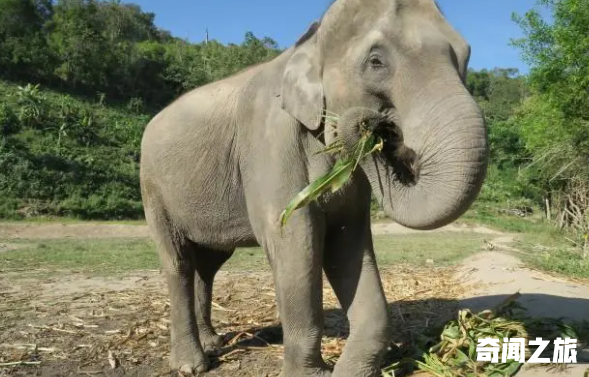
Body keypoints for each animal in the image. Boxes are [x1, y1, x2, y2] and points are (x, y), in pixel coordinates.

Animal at [138, 0, 486, 376]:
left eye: (466, 56)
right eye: (376, 61)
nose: (370, 126)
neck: (308, 42)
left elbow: (348, 243)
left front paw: (352, 370)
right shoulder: (271, 142)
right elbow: (294, 240)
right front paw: (310, 373)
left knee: (208, 264)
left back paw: (213, 344)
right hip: (152, 188)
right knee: (179, 262)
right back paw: (192, 364)